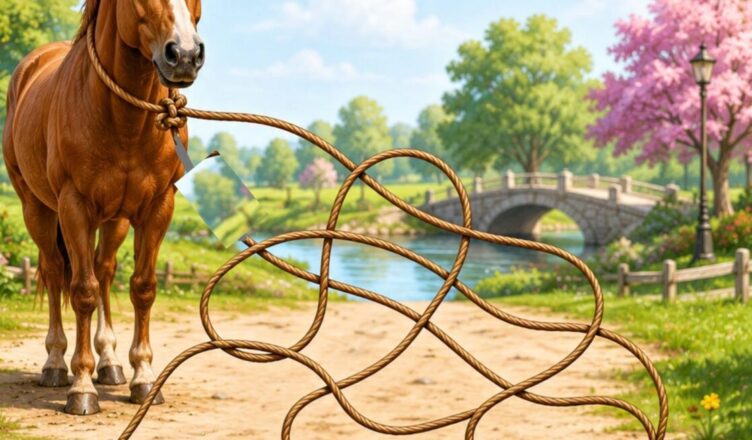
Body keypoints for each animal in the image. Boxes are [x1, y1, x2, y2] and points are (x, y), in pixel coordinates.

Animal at [2, 0, 204, 415]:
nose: (185, 55)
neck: (122, 121)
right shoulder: (74, 206)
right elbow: (82, 291)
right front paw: (81, 387)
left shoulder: (157, 207)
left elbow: (142, 287)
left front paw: (144, 378)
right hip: (37, 209)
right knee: (54, 272)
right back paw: (55, 363)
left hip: (114, 221)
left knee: (104, 270)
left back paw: (109, 363)